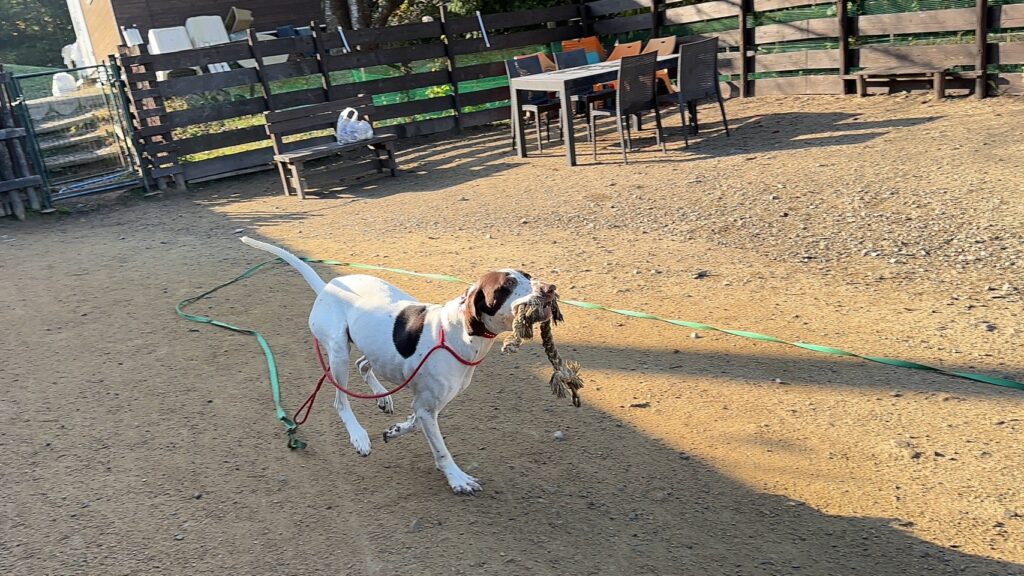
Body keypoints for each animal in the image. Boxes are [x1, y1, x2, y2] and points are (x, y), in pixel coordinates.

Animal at [240, 237, 557, 494]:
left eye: (528, 276)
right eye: (508, 286)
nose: (550, 288)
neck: (456, 332)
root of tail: (328, 287)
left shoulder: (429, 404)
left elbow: (415, 421)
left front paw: (395, 430)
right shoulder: (429, 407)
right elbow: (441, 449)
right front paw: (457, 478)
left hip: (372, 348)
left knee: (363, 364)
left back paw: (383, 398)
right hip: (338, 351)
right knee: (340, 401)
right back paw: (358, 436)